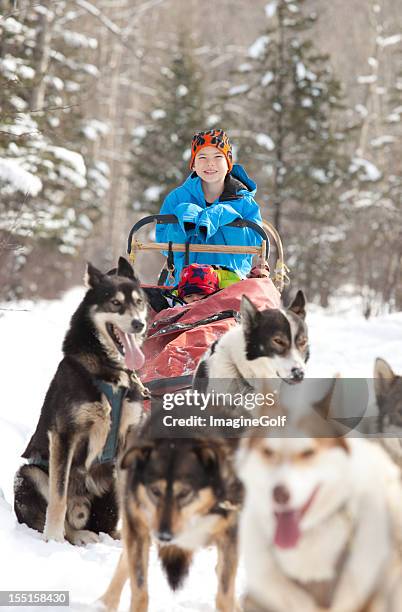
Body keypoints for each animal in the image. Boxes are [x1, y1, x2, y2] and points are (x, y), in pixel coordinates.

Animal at [14, 258, 150, 544]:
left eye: (139, 302)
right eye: (115, 303)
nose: (138, 324)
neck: (110, 374)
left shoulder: (129, 438)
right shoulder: (64, 435)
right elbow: (58, 496)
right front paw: (53, 541)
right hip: (28, 474)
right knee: (60, 515)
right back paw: (76, 536)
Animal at [99, 406, 242, 612]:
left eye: (185, 492)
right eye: (154, 491)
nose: (164, 535)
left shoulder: (229, 532)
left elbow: (225, 594)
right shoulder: (138, 525)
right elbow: (139, 589)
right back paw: (105, 602)